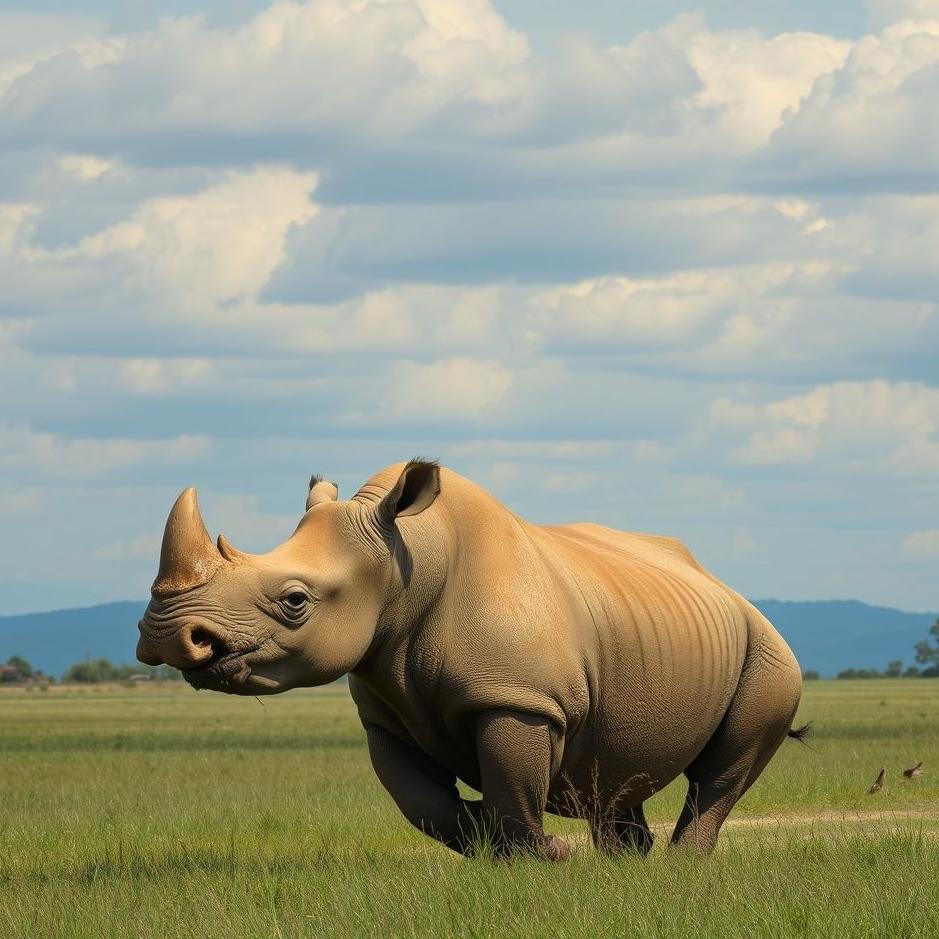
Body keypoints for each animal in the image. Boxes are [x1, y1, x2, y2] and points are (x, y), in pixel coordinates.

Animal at [137, 460, 805, 857]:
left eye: (295, 600)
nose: (166, 638)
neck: (405, 561)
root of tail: (724, 585)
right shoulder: (385, 711)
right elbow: (423, 804)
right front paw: (490, 837)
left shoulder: (519, 699)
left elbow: (511, 787)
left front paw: (545, 858)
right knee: (617, 771)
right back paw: (626, 868)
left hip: (770, 653)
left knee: (723, 769)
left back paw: (675, 867)